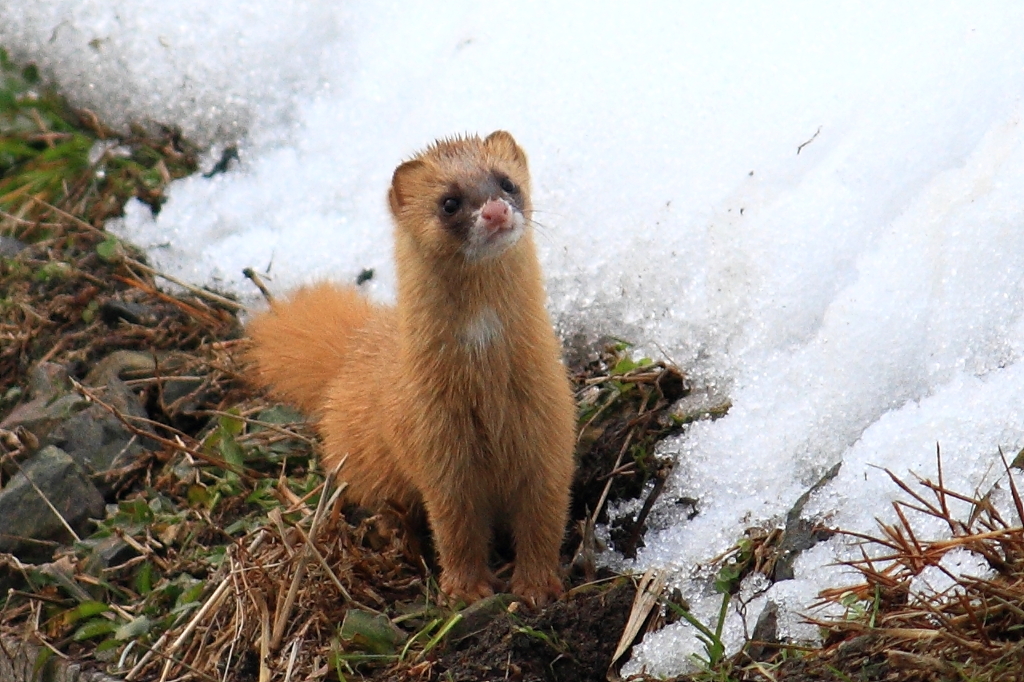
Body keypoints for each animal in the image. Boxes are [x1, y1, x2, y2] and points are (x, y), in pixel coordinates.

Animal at [243, 133, 573, 606]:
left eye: (507, 182)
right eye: (449, 202)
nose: (494, 211)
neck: (489, 393)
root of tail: (360, 344)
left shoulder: (551, 431)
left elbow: (544, 519)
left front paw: (536, 587)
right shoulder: (436, 448)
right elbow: (455, 529)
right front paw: (466, 591)